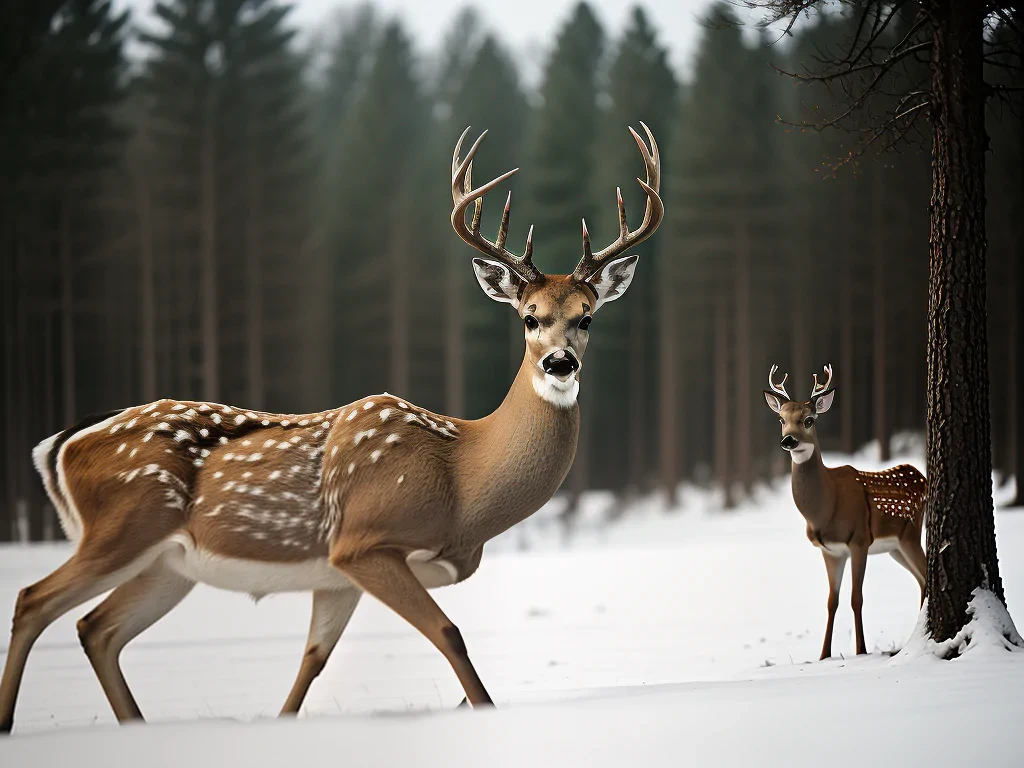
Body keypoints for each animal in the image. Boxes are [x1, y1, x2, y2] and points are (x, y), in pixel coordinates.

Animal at [0, 124, 663, 733]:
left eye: (587, 317)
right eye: (530, 317)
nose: (560, 363)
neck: (462, 481)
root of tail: (62, 443)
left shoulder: (336, 572)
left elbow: (311, 663)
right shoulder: (364, 539)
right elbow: (449, 633)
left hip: (168, 563)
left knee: (97, 629)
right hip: (123, 524)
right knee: (35, 601)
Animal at [763, 364, 927, 661]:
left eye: (808, 420)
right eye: (781, 419)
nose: (788, 440)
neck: (825, 510)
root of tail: (922, 477)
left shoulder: (860, 539)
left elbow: (856, 598)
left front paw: (861, 651)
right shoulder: (830, 550)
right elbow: (832, 601)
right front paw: (823, 655)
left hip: (910, 534)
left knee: (927, 573)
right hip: (895, 547)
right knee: (921, 579)